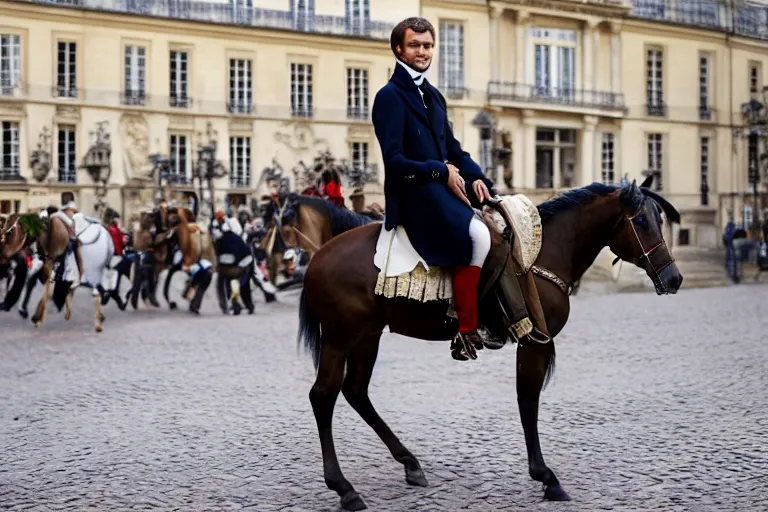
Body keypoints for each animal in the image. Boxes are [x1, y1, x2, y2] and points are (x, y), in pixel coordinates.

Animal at [298, 178, 684, 510]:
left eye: (659, 219)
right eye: (641, 221)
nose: (674, 278)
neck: (541, 252)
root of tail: (317, 257)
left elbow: (527, 401)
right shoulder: (534, 343)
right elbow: (528, 402)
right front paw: (546, 476)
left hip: (367, 335)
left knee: (356, 391)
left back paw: (409, 463)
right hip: (340, 337)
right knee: (323, 396)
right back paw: (344, 488)